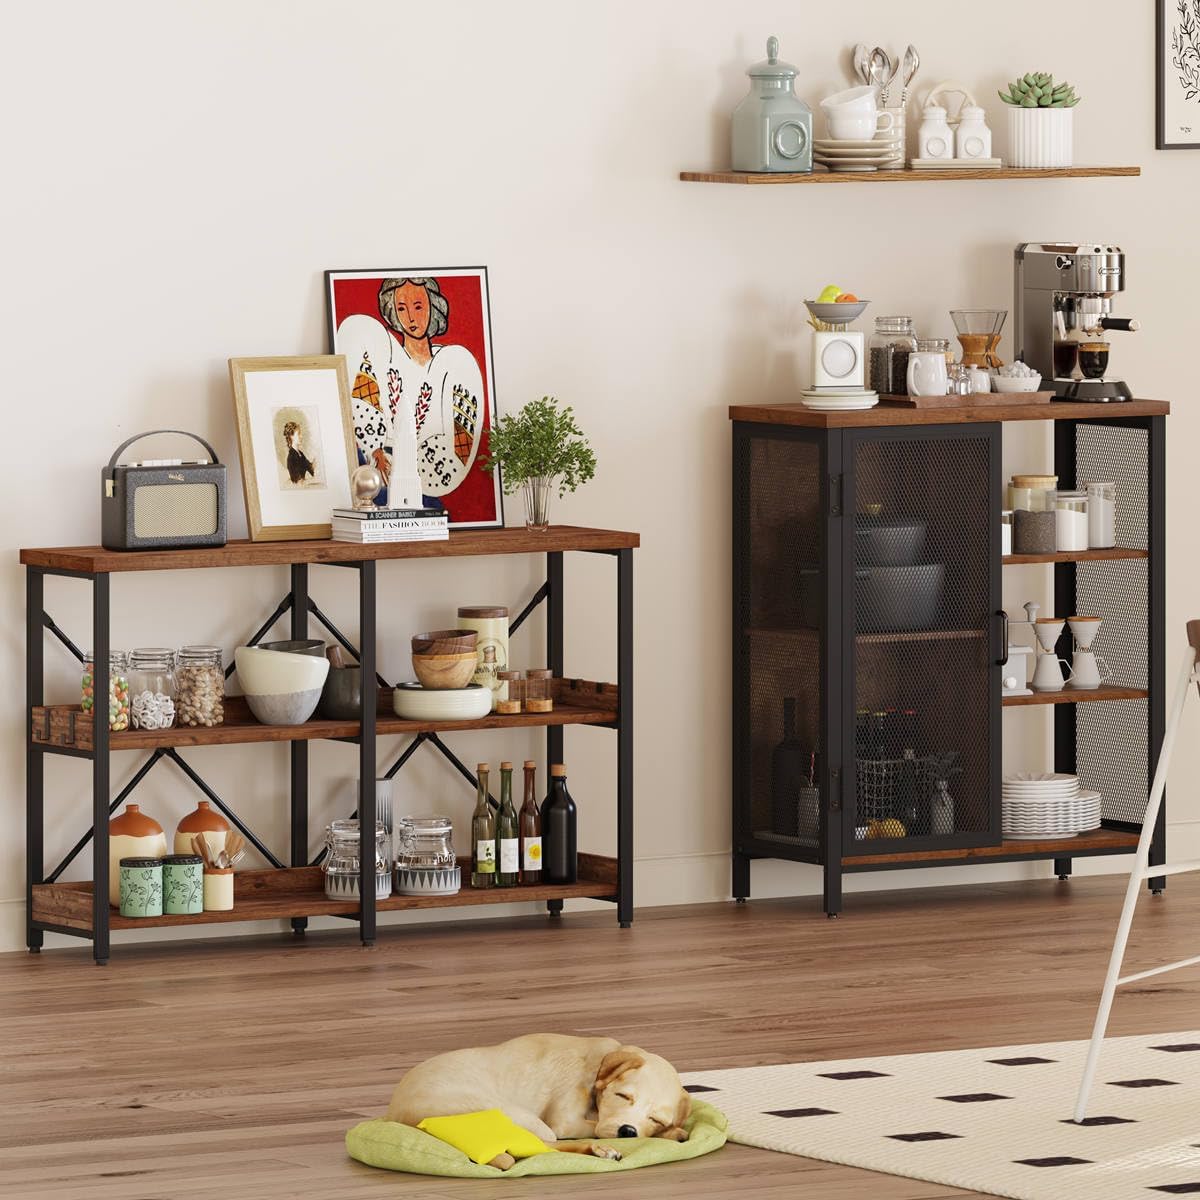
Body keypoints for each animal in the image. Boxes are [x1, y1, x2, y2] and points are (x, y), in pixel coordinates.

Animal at [388, 1032, 691, 1161]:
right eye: (622, 1095)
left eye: (655, 1118)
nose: (627, 1131)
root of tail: (399, 1117)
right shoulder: (565, 1122)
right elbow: (589, 1127)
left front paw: (672, 1131)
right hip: (519, 1115)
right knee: (542, 1144)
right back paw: (599, 1149)